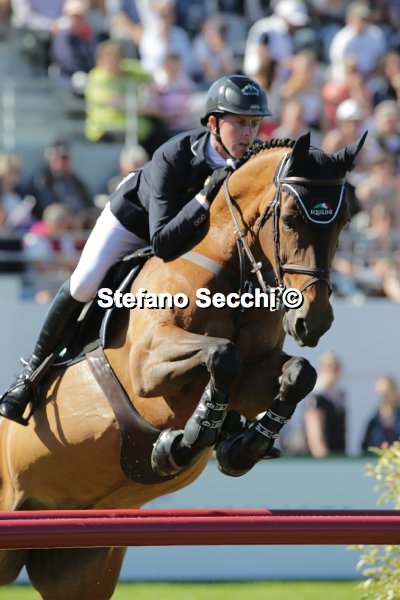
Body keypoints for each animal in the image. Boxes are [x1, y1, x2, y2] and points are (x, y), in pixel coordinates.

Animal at [0, 132, 366, 599]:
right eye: (289, 219)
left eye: (343, 222)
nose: (312, 322)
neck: (232, 271)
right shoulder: (147, 365)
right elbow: (221, 355)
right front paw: (184, 442)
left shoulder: (256, 374)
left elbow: (300, 374)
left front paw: (241, 447)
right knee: (77, 290)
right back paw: (18, 395)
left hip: (79, 563)